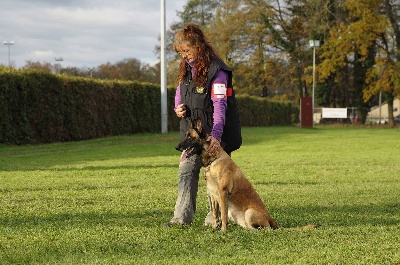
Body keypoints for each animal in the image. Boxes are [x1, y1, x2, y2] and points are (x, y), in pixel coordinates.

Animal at [177, 118, 320, 230]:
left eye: (189, 137)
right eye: (185, 135)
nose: (177, 147)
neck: (213, 161)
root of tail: (271, 219)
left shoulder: (223, 194)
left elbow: (222, 215)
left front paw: (223, 231)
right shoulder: (213, 196)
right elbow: (215, 215)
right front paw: (214, 228)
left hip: (249, 213)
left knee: (265, 229)